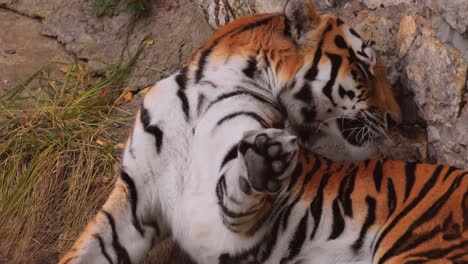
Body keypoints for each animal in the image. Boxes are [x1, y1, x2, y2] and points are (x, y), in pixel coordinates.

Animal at [56, 1, 418, 262]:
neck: (201, 94)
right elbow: (87, 249)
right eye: (362, 70)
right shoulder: (135, 197)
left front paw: (265, 162)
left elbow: (237, 189)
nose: (396, 118)